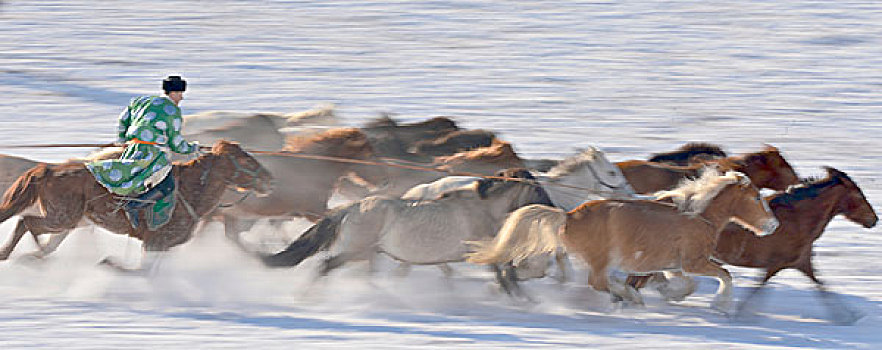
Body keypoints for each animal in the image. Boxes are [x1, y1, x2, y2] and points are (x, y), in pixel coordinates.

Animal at [0, 141, 272, 270]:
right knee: (27, 222)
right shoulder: (155, 242)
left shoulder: (163, 247)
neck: (192, 190)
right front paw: (110, 264)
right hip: (61, 218)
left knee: (40, 236)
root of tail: (48, 170)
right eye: (243, 160)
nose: (269, 178)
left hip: (72, 221)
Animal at [258, 175, 552, 296]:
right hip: (355, 251)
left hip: (365, 253)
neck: (481, 208)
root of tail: (352, 207)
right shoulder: (481, 251)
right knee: (325, 265)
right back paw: (307, 298)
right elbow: (504, 272)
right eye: (538, 191)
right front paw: (522, 299)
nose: (554, 209)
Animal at [464, 171, 772, 310]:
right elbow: (725, 275)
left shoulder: (672, 265)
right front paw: (721, 304)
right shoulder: (693, 262)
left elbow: (688, 283)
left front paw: (673, 295)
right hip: (601, 259)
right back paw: (625, 296)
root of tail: (567, 217)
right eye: (756, 197)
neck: (697, 215)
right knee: (597, 282)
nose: (773, 225)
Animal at [624, 168, 872, 324]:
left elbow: (822, 288)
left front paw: (849, 316)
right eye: (859, 195)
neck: (799, 218)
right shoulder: (776, 265)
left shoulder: (802, 263)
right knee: (637, 281)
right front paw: (736, 313)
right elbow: (757, 290)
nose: (874, 219)